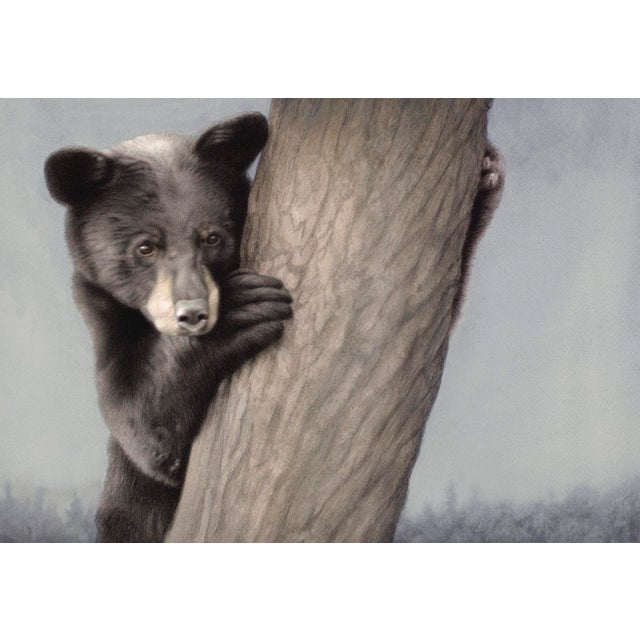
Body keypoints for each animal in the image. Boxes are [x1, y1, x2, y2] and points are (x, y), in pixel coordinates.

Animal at [44, 112, 293, 542]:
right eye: (146, 247)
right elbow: (140, 419)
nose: (193, 314)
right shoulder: (105, 322)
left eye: (212, 237)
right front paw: (243, 306)